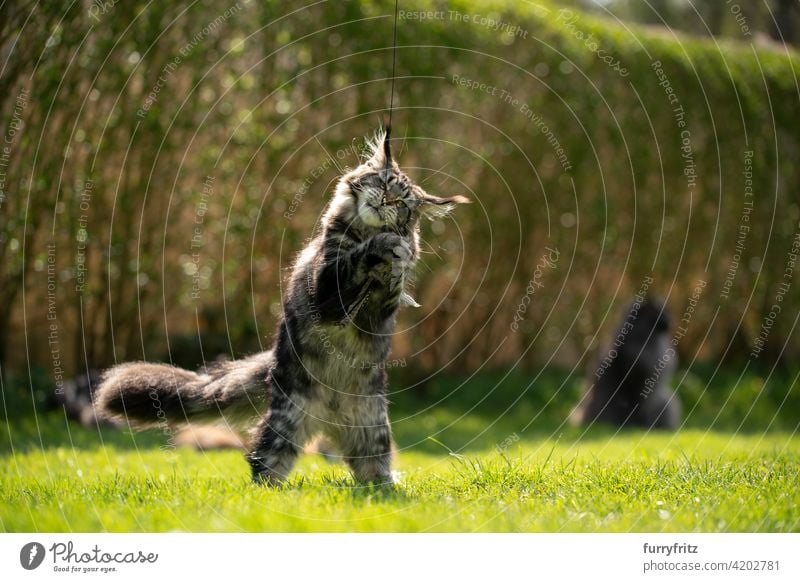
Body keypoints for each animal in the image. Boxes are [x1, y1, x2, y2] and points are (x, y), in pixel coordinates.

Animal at [94, 129, 468, 488]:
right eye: (384, 182)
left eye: (402, 202)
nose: (387, 201)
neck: (364, 232)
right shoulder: (326, 290)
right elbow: (354, 259)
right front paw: (384, 247)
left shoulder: (376, 314)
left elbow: (391, 285)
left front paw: (398, 260)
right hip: (286, 422)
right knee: (264, 462)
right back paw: (269, 491)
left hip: (373, 431)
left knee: (371, 467)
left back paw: (384, 487)